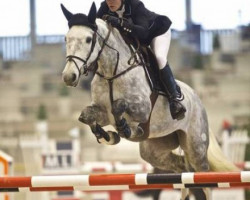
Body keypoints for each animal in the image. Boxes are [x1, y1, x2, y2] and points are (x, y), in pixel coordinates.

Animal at [60, 3, 238, 200]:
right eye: (66, 38)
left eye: (88, 39)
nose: (69, 76)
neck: (111, 73)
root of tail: (197, 98)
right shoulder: (102, 112)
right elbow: (86, 116)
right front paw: (107, 136)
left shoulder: (142, 108)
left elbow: (118, 106)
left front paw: (124, 130)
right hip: (154, 150)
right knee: (183, 168)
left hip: (196, 146)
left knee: (203, 178)